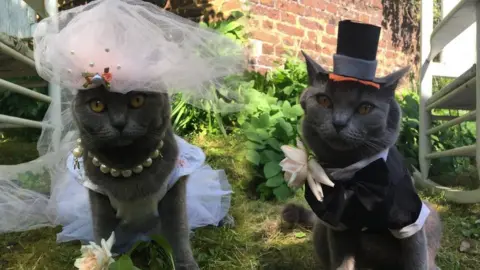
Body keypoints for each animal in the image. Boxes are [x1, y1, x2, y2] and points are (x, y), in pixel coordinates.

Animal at [282, 20, 442, 268]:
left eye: (365, 108)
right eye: (324, 100)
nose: (338, 122)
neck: (354, 177)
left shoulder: (410, 222)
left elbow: (415, 260)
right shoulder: (337, 226)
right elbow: (342, 262)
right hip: (321, 229)